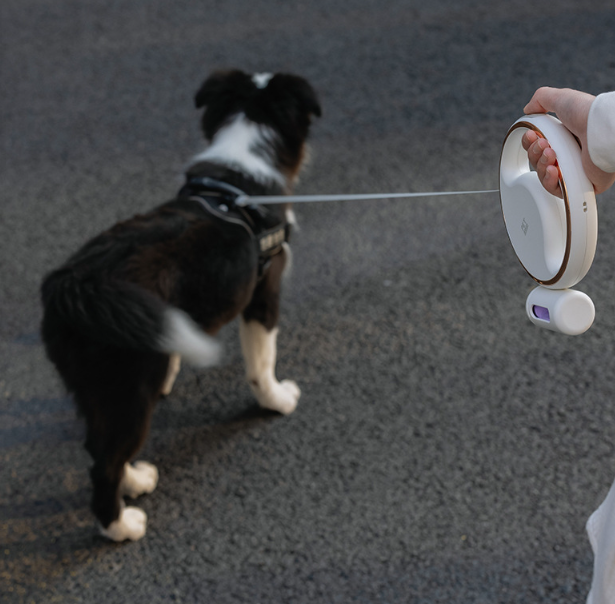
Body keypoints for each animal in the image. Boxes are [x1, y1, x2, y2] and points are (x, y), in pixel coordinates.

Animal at [41, 68, 322, 540]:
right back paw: (121, 526)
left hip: (94, 384)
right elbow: (262, 361)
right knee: (104, 463)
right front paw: (277, 400)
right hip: (128, 385)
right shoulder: (264, 294)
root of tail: (72, 285)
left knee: (99, 445)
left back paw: (135, 479)